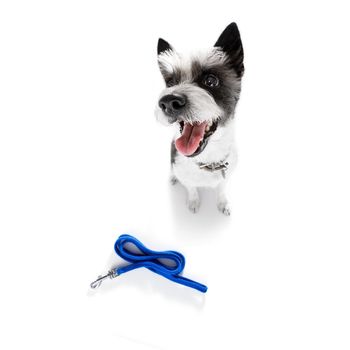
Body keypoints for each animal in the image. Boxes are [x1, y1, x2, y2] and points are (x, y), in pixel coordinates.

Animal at [154, 22, 245, 216]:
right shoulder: (185, 175)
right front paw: (194, 202)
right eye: (170, 82)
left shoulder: (226, 176)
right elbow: (191, 189)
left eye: (210, 81)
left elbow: (221, 189)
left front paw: (223, 203)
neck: (208, 160)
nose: (168, 102)